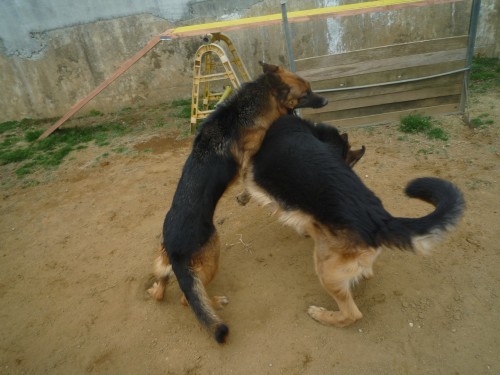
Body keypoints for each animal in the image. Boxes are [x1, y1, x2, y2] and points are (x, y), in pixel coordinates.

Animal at [147, 62, 328, 344]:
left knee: (163, 289)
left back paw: (156, 289)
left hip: (163, 261)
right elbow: (250, 177)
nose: (326, 100)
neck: (245, 109)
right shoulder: (250, 154)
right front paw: (244, 197)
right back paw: (215, 302)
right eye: (306, 93)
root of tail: (174, 248)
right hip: (212, 256)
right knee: (186, 300)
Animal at [242, 114, 464, 328]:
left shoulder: (254, 173)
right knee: (366, 274)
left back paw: (321, 315)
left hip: (326, 270)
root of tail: (381, 220)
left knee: (352, 314)